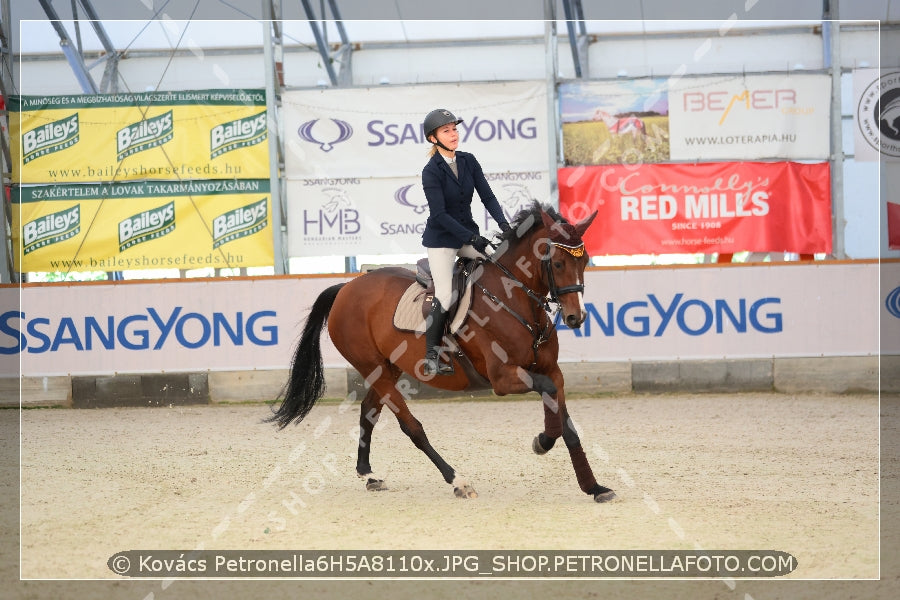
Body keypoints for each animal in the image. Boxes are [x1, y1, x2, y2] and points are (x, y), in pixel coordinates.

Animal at [268, 202, 620, 502]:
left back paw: (369, 475)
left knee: (369, 411)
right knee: (411, 427)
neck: (515, 302)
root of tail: (346, 287)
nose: (576, 318)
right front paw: (543, 442)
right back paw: (458, 481)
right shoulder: (503, 379)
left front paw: (593, 486)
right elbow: (550, 401)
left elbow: (565, 420)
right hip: (373, 367)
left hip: (387, 367)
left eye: (584, 261)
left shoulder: (552, 371)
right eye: (558, 263)